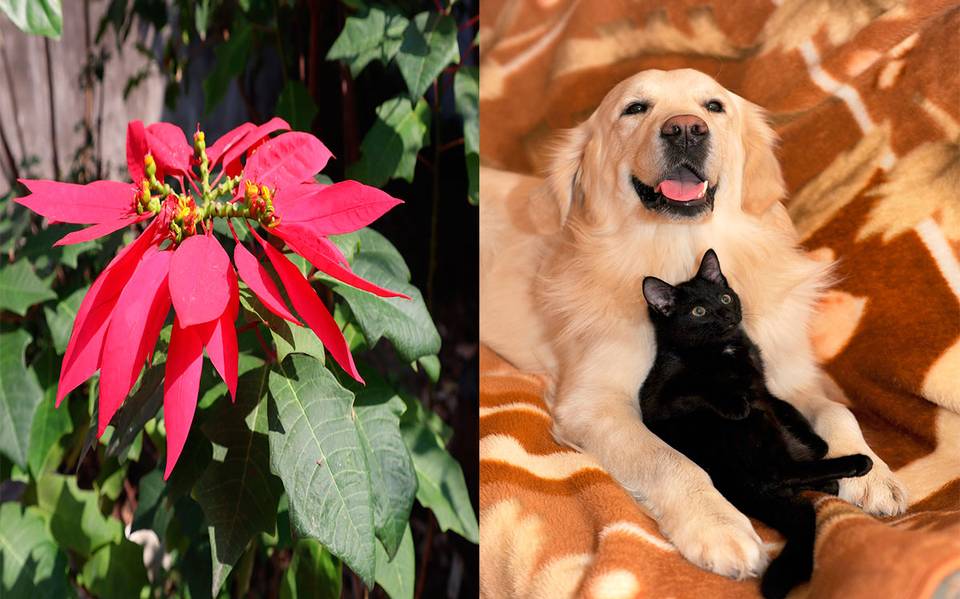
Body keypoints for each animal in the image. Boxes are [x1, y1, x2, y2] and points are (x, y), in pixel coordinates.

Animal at [640, 250, 872, 599]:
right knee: (778, 470)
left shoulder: (764, 388)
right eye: (698, 311)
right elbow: (700, 386)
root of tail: (734, 483)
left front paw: (814, 439)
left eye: (724, 297)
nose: (726, 313)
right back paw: (854, 463)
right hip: (749, 428)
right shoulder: (660, 397)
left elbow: (786, 407)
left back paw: (825, 474)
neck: (726, 348)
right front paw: (734, 402)